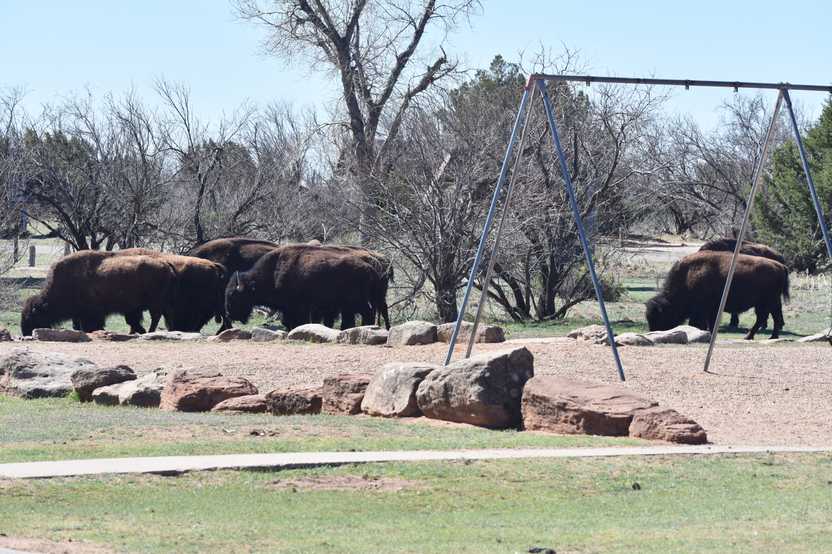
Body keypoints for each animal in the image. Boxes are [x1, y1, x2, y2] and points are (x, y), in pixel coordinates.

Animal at [21, 251, 177, 336]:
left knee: (155, 317)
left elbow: (90, 325)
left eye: (31, 317)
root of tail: (165, 265)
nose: (25, 332)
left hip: (154, 304)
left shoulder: (90, 314)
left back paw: (149, 331)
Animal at [646, 251, 789, 340]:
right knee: (773, 317)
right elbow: (708, 323)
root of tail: (780, 266)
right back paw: (770, 336)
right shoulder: (709, 310)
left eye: (660, 317)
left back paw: (750, 336)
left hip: (766, 302)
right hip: (769, 303)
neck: (687, 276)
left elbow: (700, 323)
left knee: (764, 318)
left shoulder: (704, 310)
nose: (652, 331)